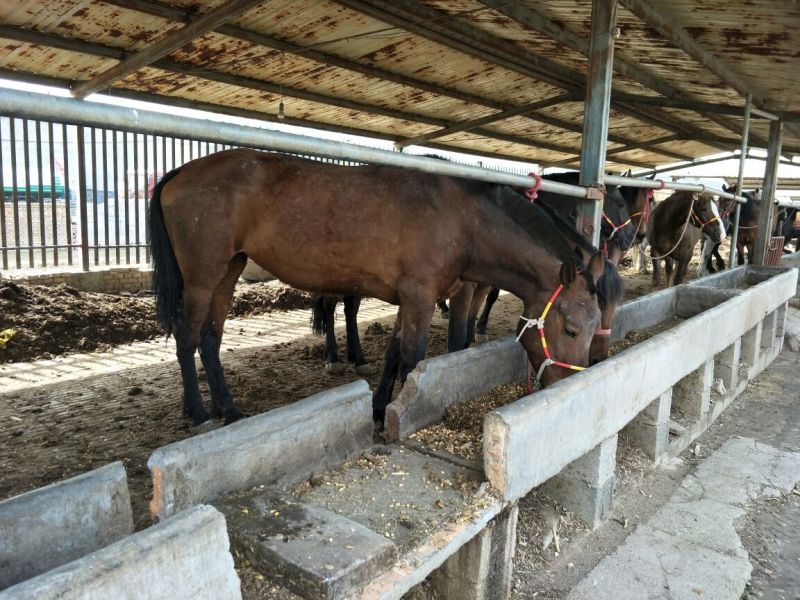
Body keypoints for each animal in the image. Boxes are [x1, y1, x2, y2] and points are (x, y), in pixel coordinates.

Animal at [149, 149, 604, 426]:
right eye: (571, 329)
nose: (569, 384)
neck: (461, 217)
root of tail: (179, 172)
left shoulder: (411, 299)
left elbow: (393, 356)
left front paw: (380, 408)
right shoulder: (420, 297)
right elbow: (413, 359)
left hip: (228, 271)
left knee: (210, 340)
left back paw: (229, 409)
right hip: (202, 277)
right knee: (187, 339)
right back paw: (200, 412)